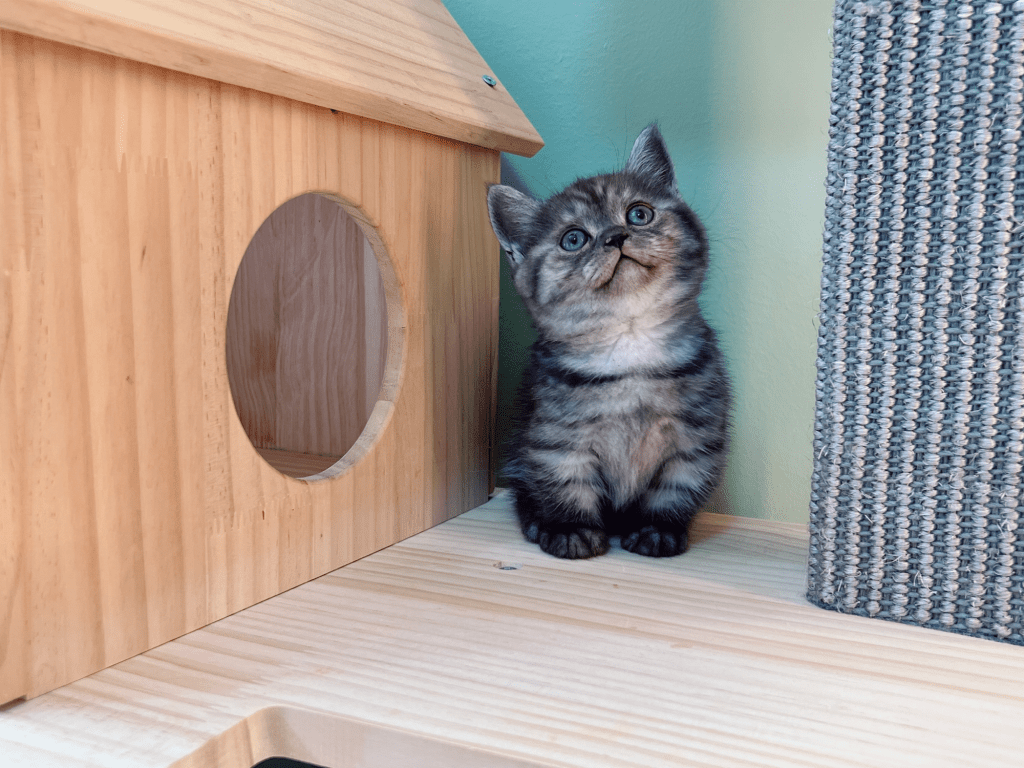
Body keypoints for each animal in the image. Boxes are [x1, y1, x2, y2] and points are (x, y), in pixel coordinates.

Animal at [487, 124, 730, 559]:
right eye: (573, 239)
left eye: (639, 213)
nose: (617, 236)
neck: (630, 339)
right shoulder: (556, 441)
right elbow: (564, 485)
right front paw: (570, 529)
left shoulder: (696, 439)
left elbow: (676, 487)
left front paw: (657, 529)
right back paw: (536, 521)